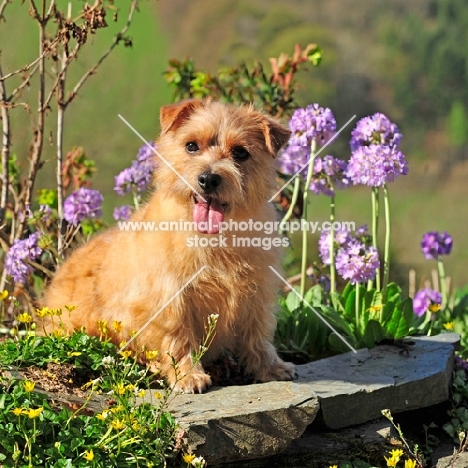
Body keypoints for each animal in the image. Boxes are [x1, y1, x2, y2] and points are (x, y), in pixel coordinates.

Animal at [45, 100, 298, 394]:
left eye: (240, 153)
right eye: (191, 146)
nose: (208, 178)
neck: (214, 240)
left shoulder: (257, 292)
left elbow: (258, 334)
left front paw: (270, 367)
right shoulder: (170, 297)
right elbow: (178, 337)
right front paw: (187, 375)